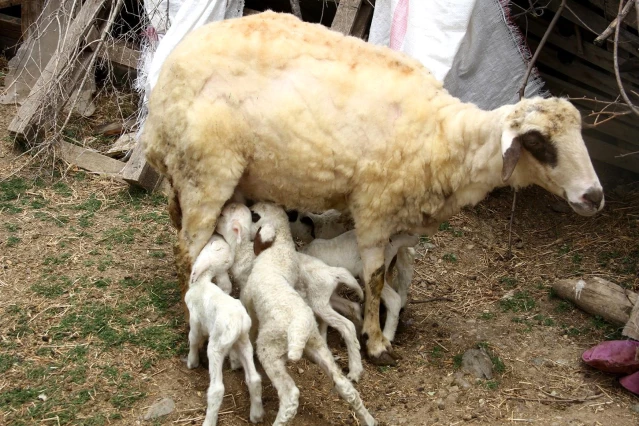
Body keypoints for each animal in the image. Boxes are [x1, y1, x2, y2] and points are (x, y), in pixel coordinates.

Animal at [144, 10, 604, 366]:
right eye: (539, 144)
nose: (594, 197)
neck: (443, 137)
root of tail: (168, 73)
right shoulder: (374, 210)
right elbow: (377, 276)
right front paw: (377, 340)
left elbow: (399, 268)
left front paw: (395, 316)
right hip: (206, 172)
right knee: (186, 252)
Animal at [242, 203, 378, 426]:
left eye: (255, 216)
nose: (249, 205)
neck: (277, 254)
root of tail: (301, 326)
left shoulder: (248, 300)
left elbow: (251, 322)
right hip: (317, 344)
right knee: (345, 386)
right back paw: (368, 417)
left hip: (271, 349)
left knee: (290, 396)